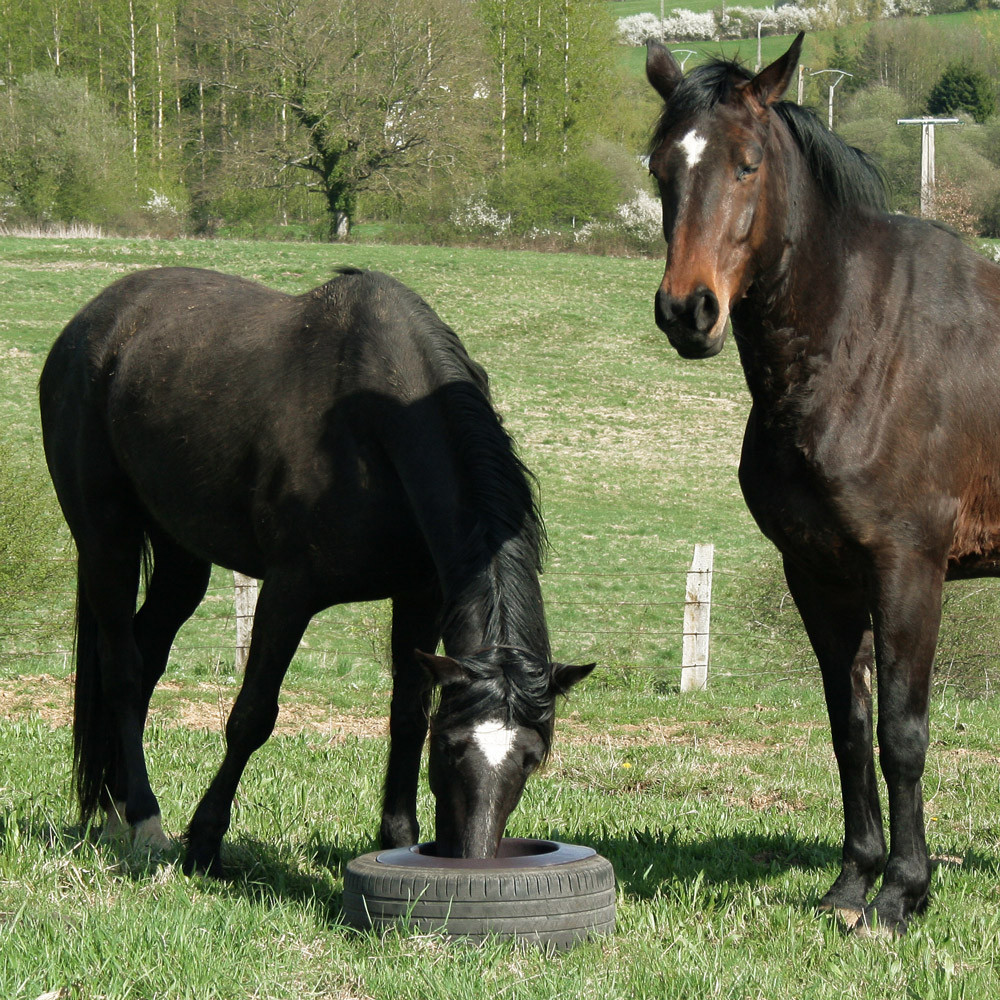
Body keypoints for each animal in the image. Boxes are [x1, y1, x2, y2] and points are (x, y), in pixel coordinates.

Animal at [41, 266, 592, 876]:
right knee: (122, 668)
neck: (371, 431)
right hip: (105, 540)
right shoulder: (289, 593)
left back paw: (116, 809)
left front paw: (397, 836)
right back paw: (143, 818)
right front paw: (205, 842)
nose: (471, 857)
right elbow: (252, 715)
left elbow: (407, 715)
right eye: (450, 749)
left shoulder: (420, 597)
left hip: (181, 556)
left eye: (532, 758)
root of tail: (92, 322)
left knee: (148, 654)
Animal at [644, 31, 1000, 932]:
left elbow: (902, 733)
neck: (860, 342)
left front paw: (903, 894)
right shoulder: (818, 574)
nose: (688, 312)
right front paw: (852, 884)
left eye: (746, 165)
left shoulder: (908, 569)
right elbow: (849, 728)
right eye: (661, 167)